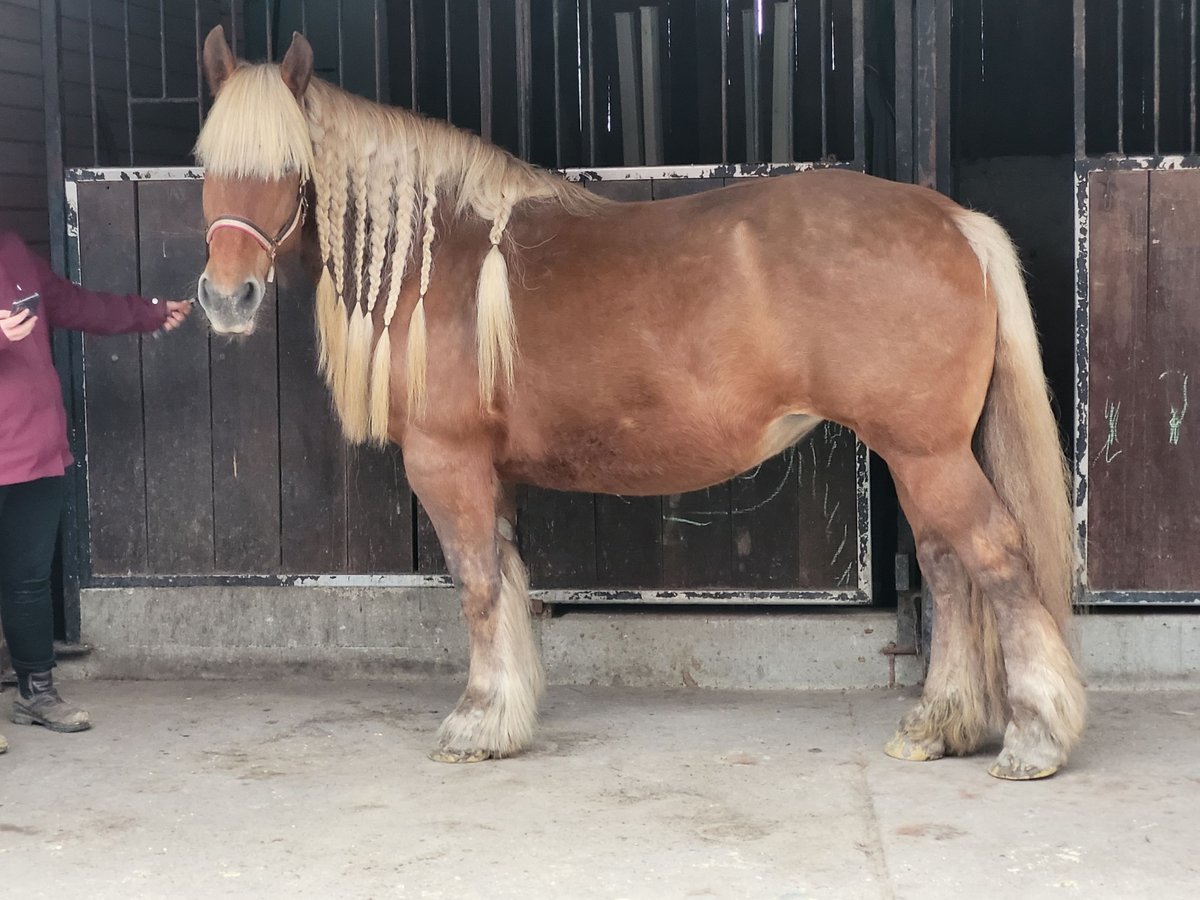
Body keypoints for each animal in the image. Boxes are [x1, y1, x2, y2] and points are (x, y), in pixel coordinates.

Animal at [192, 26, 1084, 777]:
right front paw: (507, 716)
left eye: (290, 164)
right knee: (946, 567)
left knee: (996, 558)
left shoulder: (447, 463)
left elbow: (477, 584)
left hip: (926, 452)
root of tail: (954, 221)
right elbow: (508, 582)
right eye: (206, 161)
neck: (442, 259)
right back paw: (938, 725)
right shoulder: (490, 471)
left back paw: (1034, 738)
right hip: (918, 455)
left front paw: (475, 723)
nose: (227, 299)